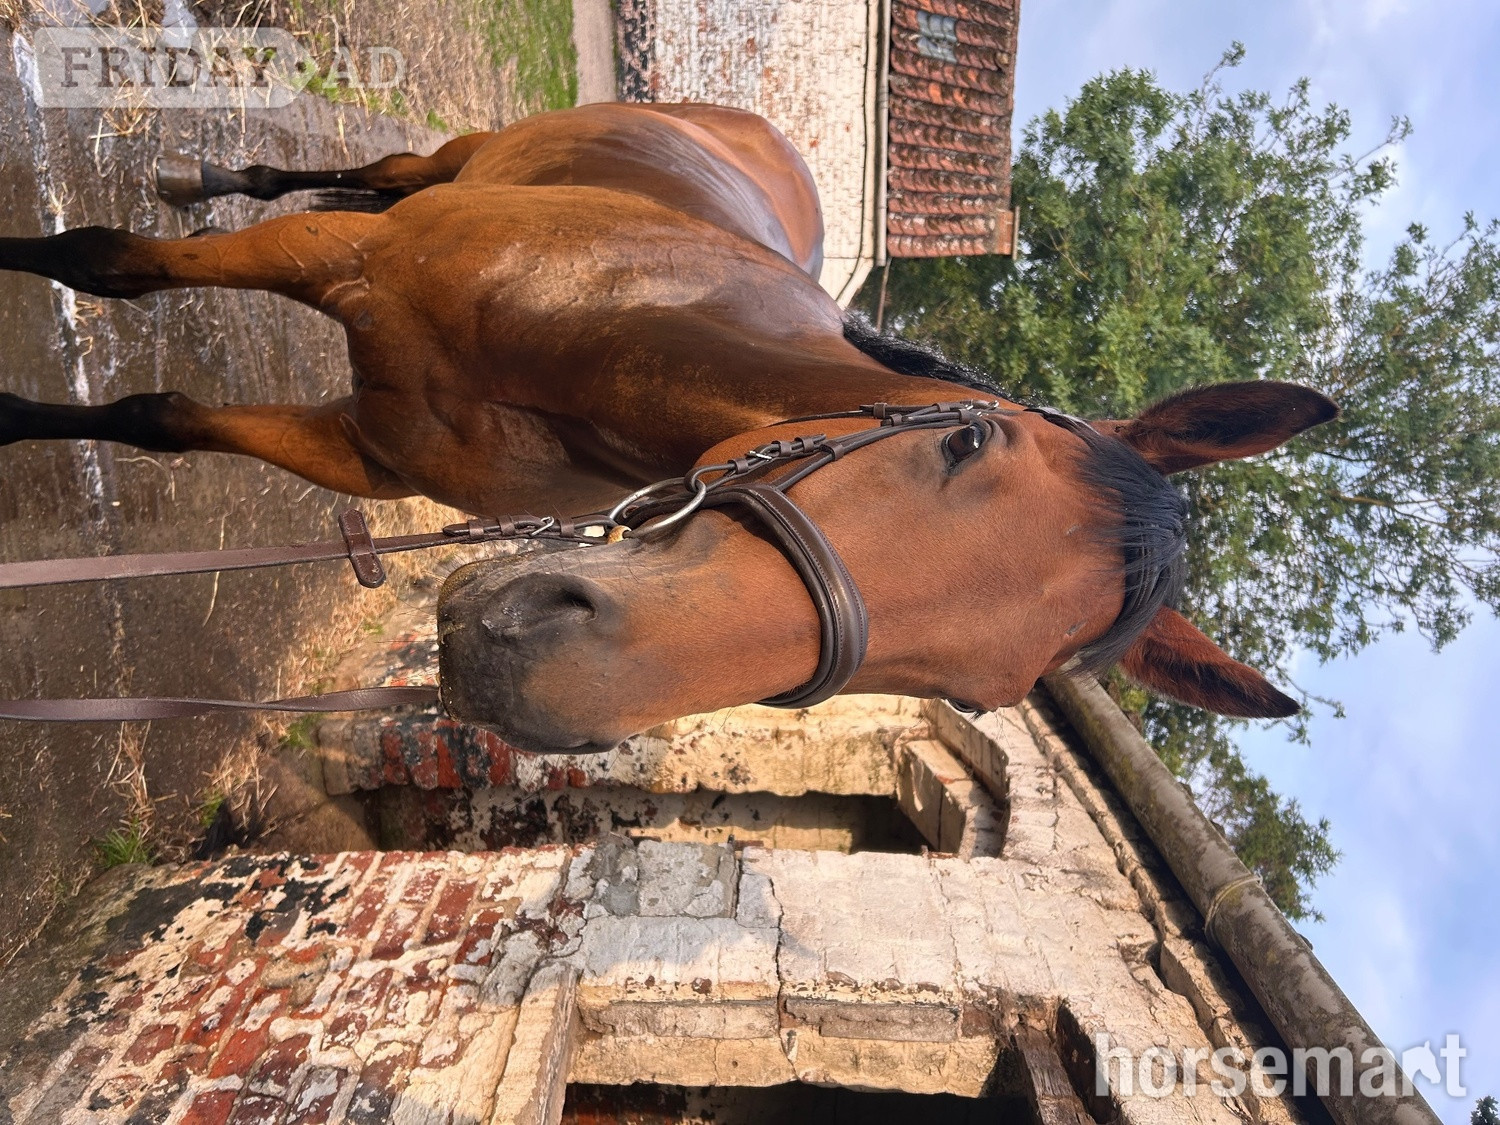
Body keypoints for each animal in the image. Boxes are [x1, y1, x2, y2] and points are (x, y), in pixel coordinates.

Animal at [0, 102, 1337, 753]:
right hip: (431, 168)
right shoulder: (339, 261)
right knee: (356, 177)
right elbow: (106, 264)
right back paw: (202, 174)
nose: (537, 680)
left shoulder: (367, 450)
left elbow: (162, 419)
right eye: (966, 444)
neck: (614, 325)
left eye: (978, 696)